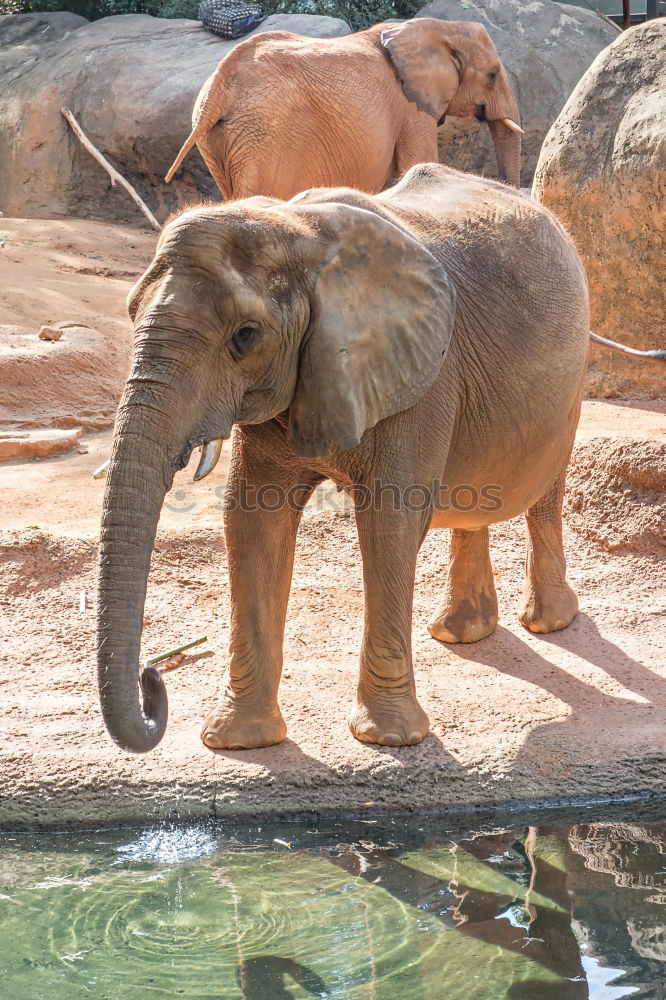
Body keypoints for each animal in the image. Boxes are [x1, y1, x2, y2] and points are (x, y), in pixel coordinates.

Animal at [96, 160, 584, 752]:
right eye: (129, 312)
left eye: (246, 337)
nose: (153, 678)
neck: (296, 229)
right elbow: (252, 519)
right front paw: (239, 740)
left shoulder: (421, 379)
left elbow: (390, 522)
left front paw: (390, 739)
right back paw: (460, 632)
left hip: (571, 374)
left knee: (545, 489)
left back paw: (547, 623)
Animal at [163, 17, 520, 196]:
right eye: (491, 75)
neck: (438, 26)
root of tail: (220, 86)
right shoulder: (411, 107)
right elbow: (420, 161)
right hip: (262, 133)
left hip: (218, 138)